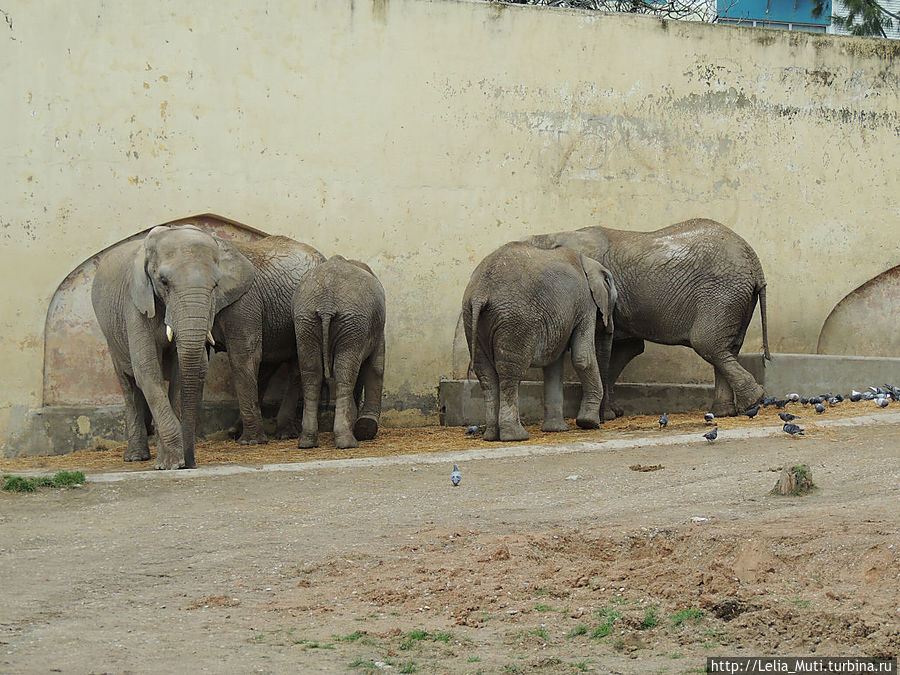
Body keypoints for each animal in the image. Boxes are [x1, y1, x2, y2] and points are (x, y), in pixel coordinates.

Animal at [209, 235, 326, 446]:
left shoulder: (244, 301)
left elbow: (243, 356)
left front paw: (250, 443)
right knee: (266, 366)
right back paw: (235, 431)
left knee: (294, 366)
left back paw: (283, 433)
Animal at [292, 256, 384, 452]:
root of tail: (326, 304)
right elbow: (376, 367)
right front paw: (366, 427)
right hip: (352, 322)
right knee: (344, 373)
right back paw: (348, 442)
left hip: (305, 321)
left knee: (312, 373)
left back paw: (307, 442)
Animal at [464, 243, 620, 444]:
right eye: (613, 303)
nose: (602, 421)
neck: (588, 261)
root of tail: (480, 291)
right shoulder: (585, 304)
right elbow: (582, 357)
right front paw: (588, 423)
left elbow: (554, 364)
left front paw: (557, 429)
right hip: (516, 320)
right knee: (510, 372)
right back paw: (516, 436)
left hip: (471, 319)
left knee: (485, 374)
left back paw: (491, 436)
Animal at [524, 218, 768, 418]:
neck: (554, 236)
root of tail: (755, 262)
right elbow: (625, 349)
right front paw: (612, 414)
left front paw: (606, 415)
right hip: (736, 299)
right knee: (727, 347)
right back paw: (725, 411)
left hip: (721, 293)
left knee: (707, 343)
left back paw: (752, 401)